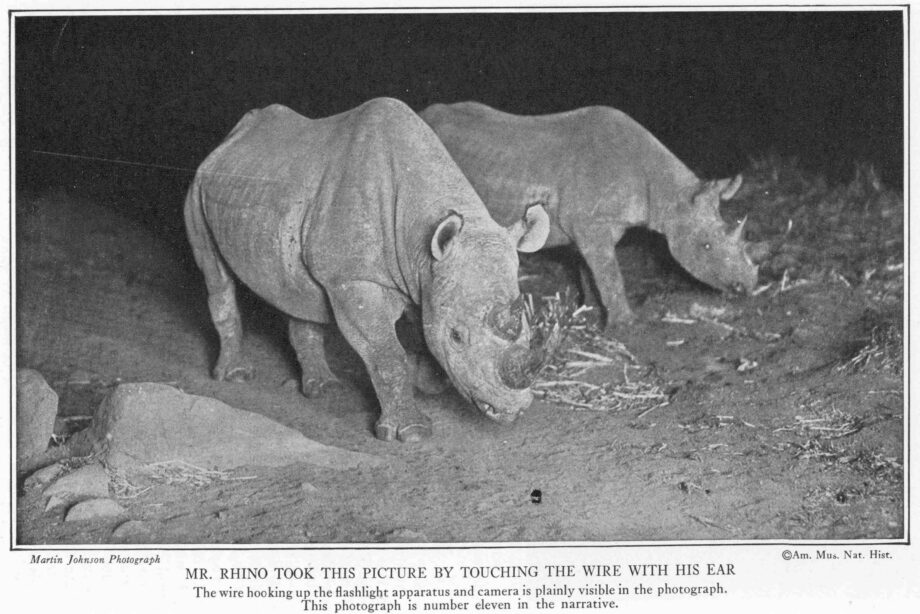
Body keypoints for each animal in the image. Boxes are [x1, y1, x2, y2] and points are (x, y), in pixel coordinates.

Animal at [184, 98, 554, 443]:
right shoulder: (354, 281)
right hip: (197, 189)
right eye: (457, 336)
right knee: (216, 276)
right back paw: (234, 375)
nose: (510, 410)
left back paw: (324, 388)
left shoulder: (422, 277)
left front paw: (429, 380)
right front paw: (410, 431)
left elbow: (424, 330)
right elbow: (387, 354)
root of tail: (231, 137)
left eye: (527, 326)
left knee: (299, 296)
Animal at [420, 101, 758, 328]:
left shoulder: (585, 227)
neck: (667, 194)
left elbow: (590, 270)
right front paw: (626, 325)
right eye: (706, 246)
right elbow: (610, 273)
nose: (746, 287)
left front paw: (591, 311)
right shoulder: (591, 225)